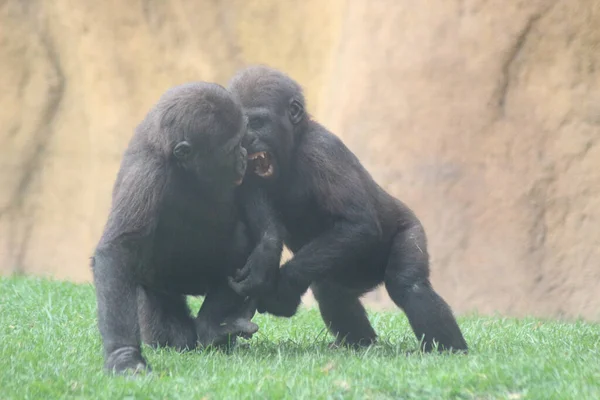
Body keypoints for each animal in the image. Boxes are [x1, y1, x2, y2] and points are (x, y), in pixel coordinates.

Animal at [90, 82, 278, 376]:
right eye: (231, 149)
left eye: (242, 142)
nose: (243, 156)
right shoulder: (146, 173)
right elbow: (120, 248)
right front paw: (124, 355)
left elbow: (250, 189)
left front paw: (267, 251)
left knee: (239, 243)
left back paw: (212, 326)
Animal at [229, 66, 468, 354]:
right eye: (241, 126)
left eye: (257, 122)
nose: (247, 138)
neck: (295, 142)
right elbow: (260, 210)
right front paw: (264, 259)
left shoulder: (323, 151)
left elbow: (359, 223)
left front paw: (282, 287)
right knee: (332, 291)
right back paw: (360, 343)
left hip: (408, 228)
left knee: (409, 285)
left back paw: (449, 350)